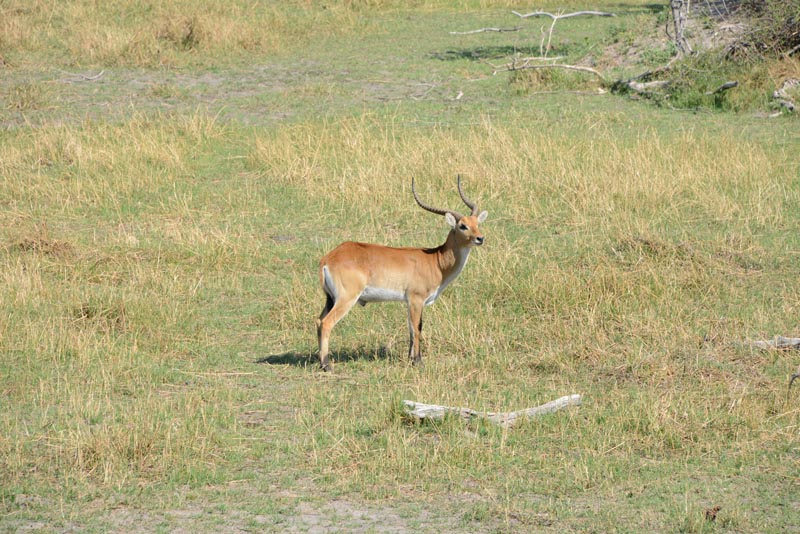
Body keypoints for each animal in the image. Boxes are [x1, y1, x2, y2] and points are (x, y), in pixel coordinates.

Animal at [316, 176, 484, 372]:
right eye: (463, 226)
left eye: (477, 223)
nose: (480, 238)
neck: (435, 261)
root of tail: (329, 258)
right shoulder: (416, 299)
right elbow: (418, 327)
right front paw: (418, 361)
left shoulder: (409, 302)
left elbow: (411, 328)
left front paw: (411, 359)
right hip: (346, 299)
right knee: (327, 323)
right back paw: (327, 366)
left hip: (330, 299)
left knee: (319, 321)